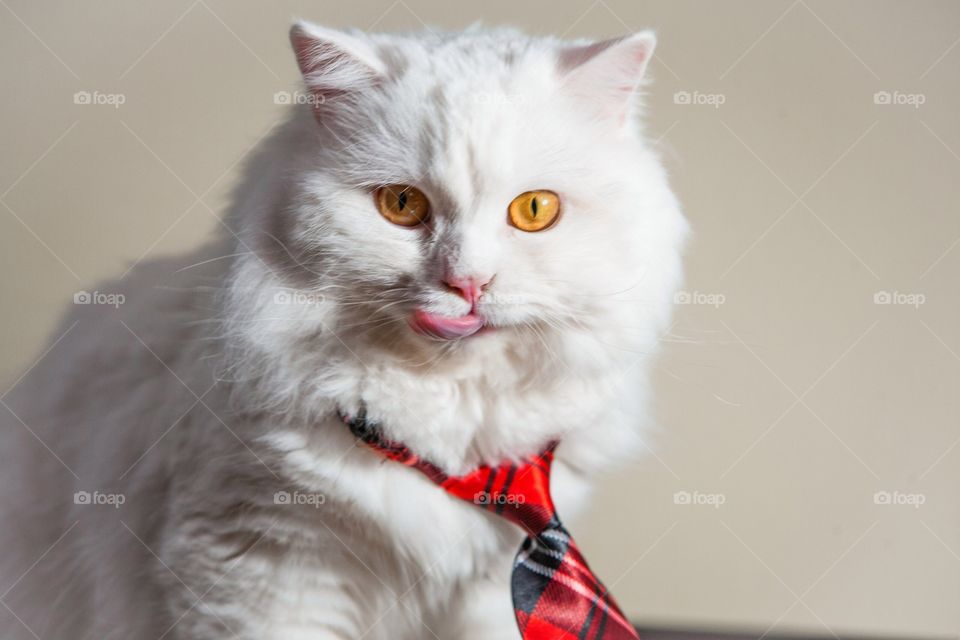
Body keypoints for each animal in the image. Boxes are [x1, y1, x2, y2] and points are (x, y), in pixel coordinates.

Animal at [1, 22, 688, 640]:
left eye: (535, 210)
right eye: (402, 205)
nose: (467, 282)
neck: (447, 444)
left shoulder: (488, 590)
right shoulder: (264, 571)